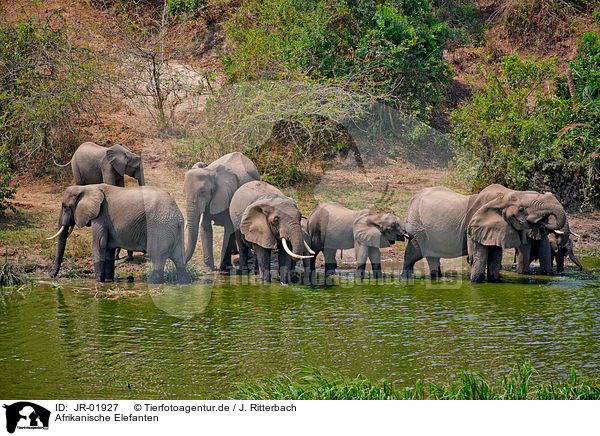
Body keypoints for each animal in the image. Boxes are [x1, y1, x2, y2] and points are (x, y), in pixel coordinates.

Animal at [48, 182, 191, 284]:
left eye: (64, 206)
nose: (51, 276)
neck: (87, 188)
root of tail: (178, 215)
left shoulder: (101, 216)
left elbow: (98, 245)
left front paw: (98, 283)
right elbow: (108, 249)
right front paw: (108, 281)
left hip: (160, 227)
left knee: (157, 259)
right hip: (173, 230)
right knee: (179, 260)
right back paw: (185, 284)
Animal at [404, 184, 568, 282]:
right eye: (521, 209)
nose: (544, 221)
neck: (503, 197)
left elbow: (495, 257)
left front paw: (494, 281)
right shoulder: (473, 225)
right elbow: (479, 257)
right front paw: (476, 281)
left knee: (431, 257)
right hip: (418, 226)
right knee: (414, 252)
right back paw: (405, 278)